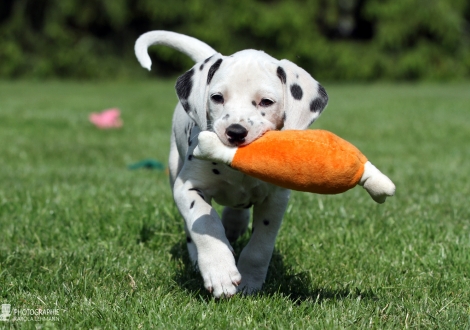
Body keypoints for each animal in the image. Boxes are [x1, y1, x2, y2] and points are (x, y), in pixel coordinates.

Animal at [134, 31, 328, 300]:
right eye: (217, 98)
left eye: (266, 102)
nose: (235, 132)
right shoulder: (187, 188)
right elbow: (205, 222)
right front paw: (220, 271)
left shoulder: (276, 199)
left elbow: (260, 244)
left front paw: (250, 280)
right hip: (174, 168)